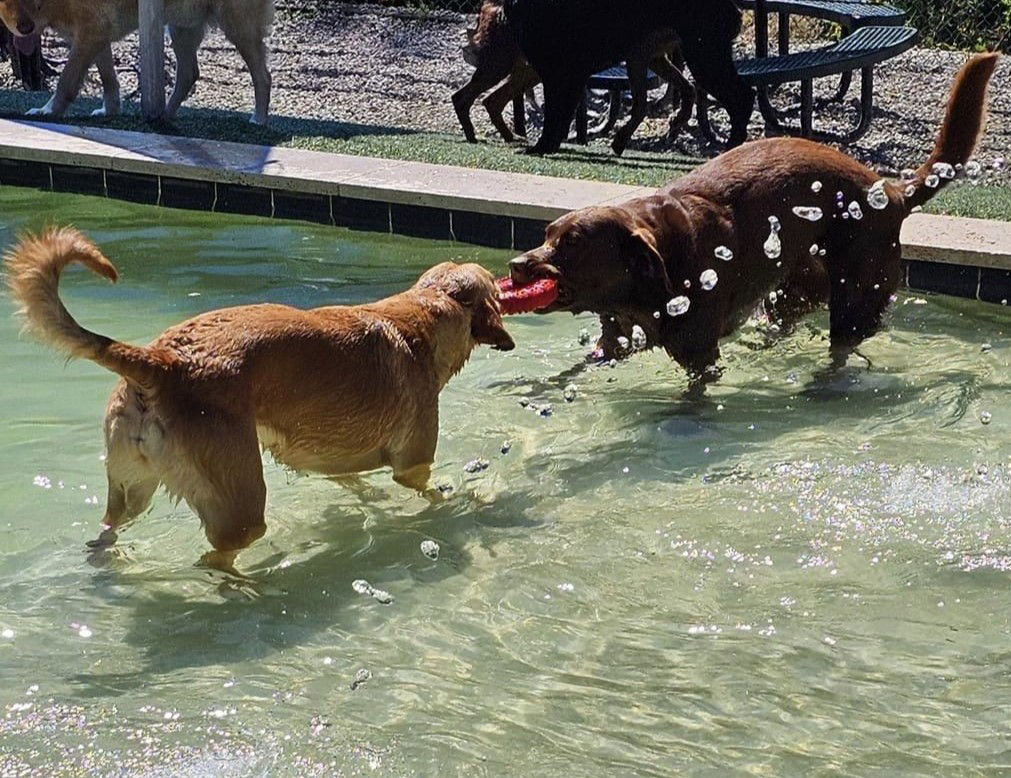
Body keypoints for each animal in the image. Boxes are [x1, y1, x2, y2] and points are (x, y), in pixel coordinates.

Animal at [505, 0, 752, 153]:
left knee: (741, 98)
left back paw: (732, 147)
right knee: (664, 97)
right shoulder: (567, 76)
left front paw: (542, 147)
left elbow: (554, 116)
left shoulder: (562, 75)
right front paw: (550, 145)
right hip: (645, 58)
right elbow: (560, 117)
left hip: (704, 57)